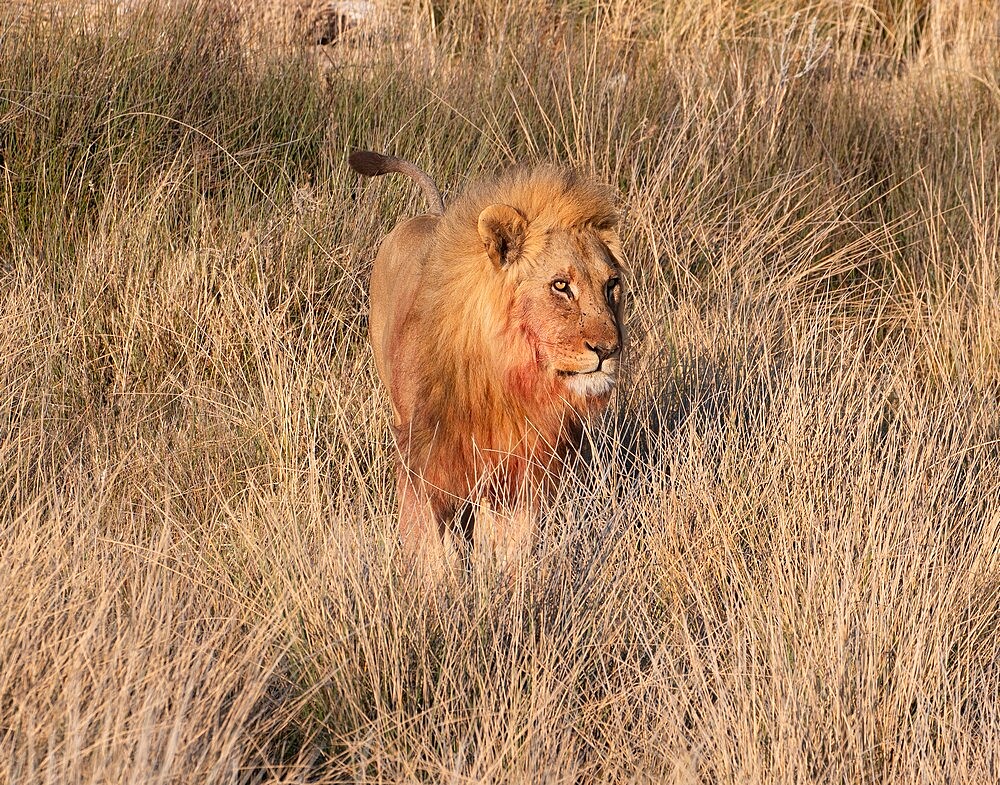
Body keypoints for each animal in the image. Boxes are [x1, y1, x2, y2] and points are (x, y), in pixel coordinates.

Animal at [348, 150, 620, 580]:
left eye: (611, 285)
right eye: (561, 285)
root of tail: (429, 213)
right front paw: (437, 589)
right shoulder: (422, 455)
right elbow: (431, 547)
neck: (504, 377)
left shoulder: (520, 466)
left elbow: (511, 548)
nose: (609, 350)